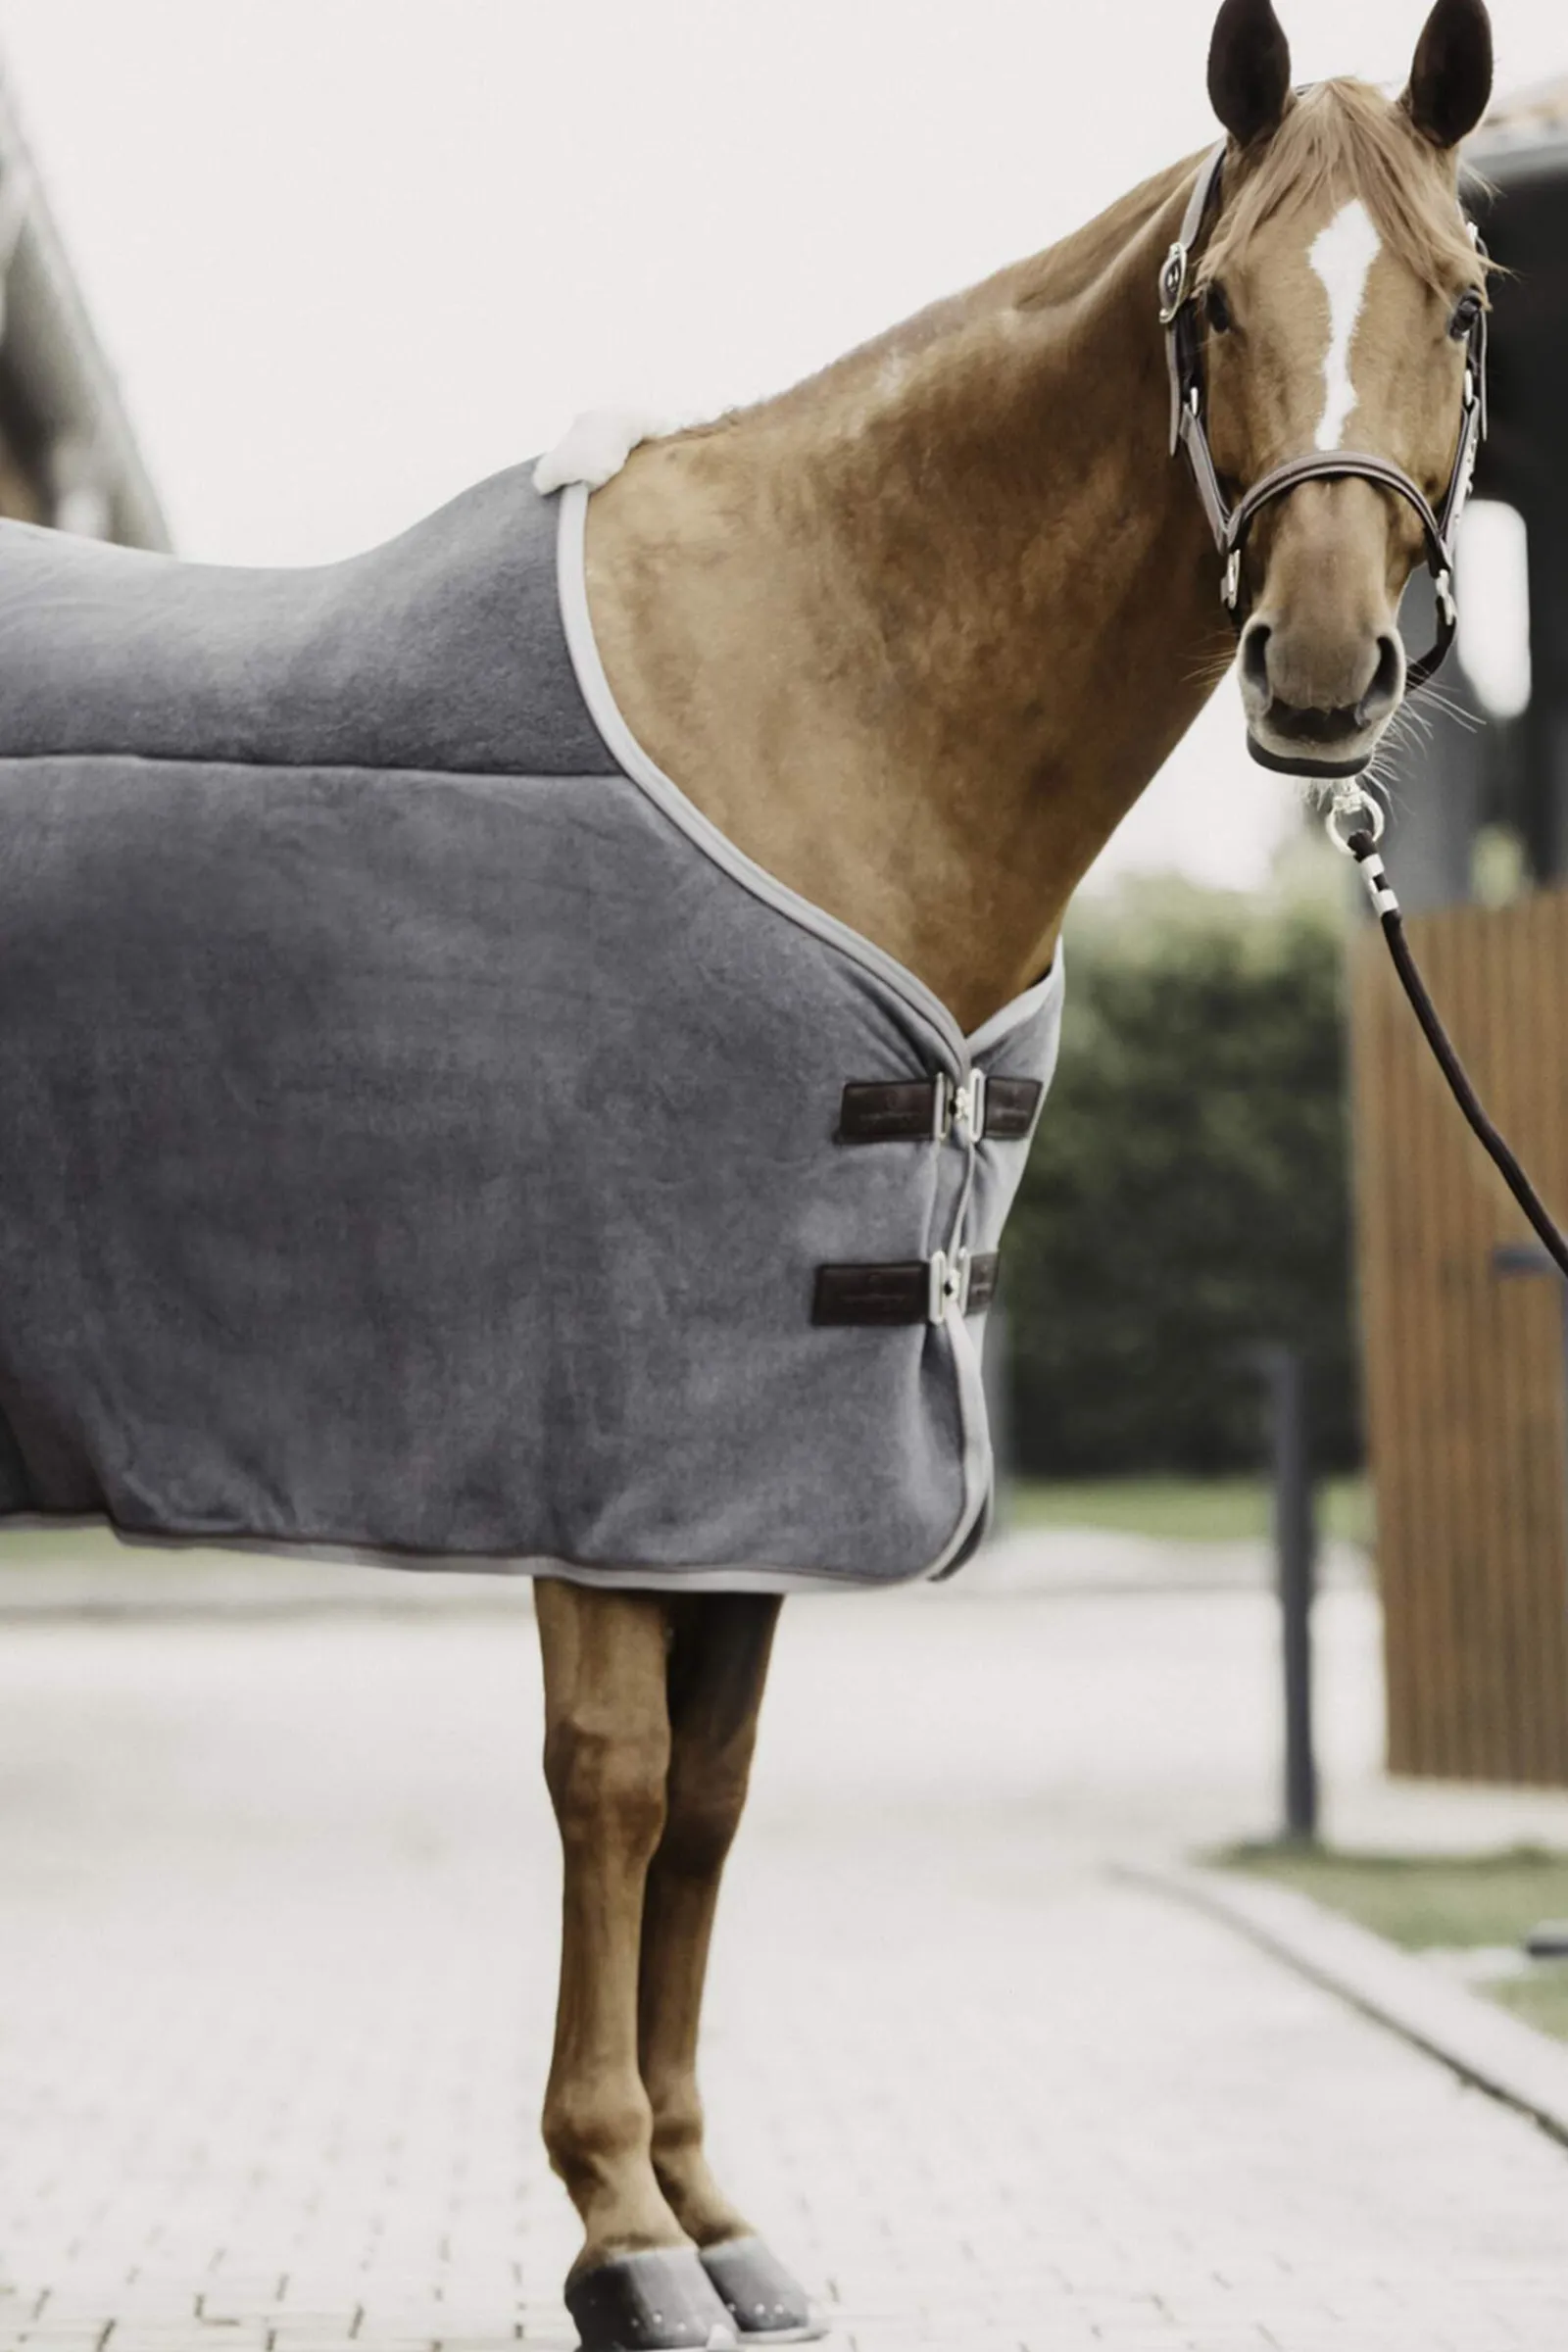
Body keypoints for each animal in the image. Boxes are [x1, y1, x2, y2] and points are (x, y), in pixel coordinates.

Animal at [0, 0, 1494, 2345]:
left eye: (1460, 297)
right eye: (1214, 309)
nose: (1326, 667)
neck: (820, 688)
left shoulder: (762, 1462)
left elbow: (710, 1800)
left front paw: (709, 2207)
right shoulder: (613, 1431)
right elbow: (613, 1793)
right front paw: (618, 2231)